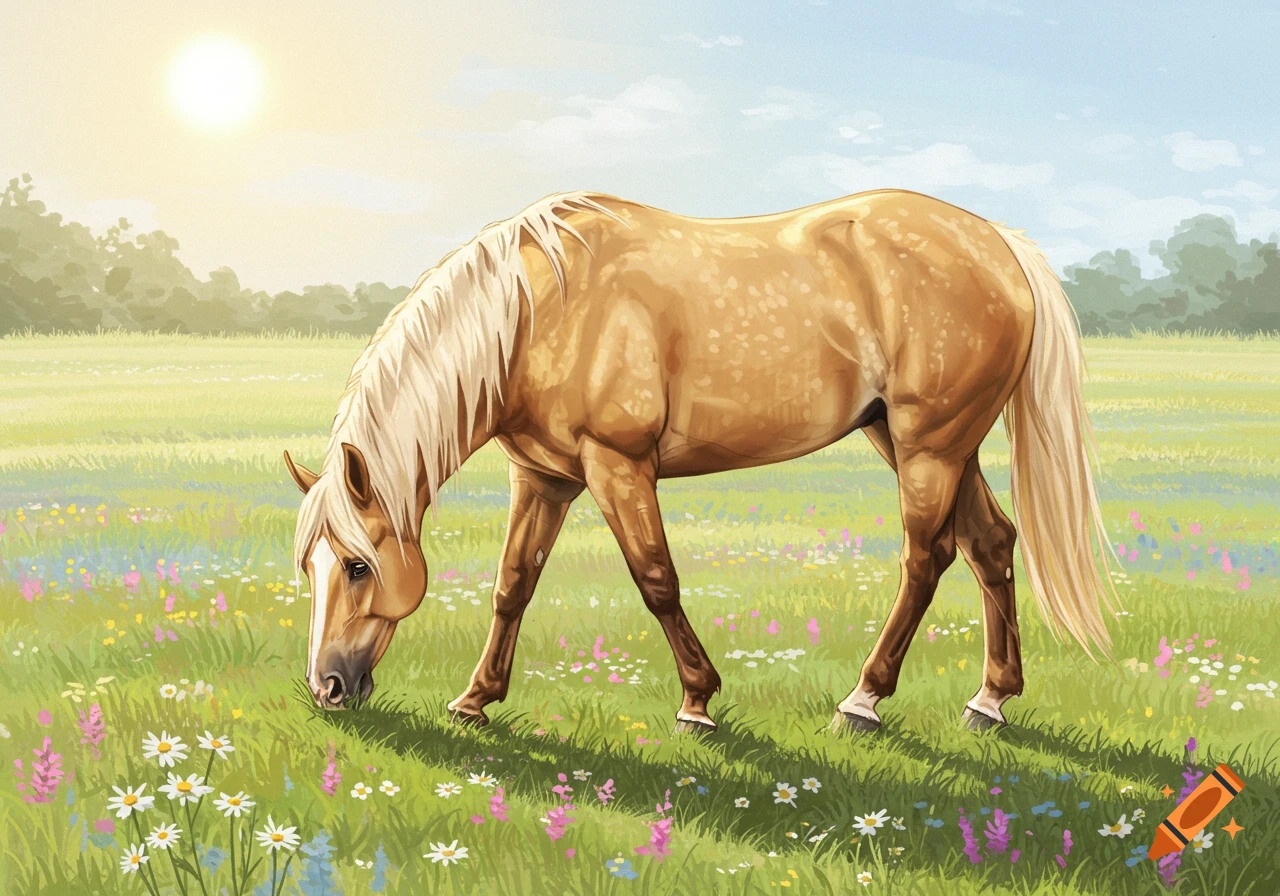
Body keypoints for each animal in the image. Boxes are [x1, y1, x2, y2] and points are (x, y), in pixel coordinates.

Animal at [284, 188, 1115, 735]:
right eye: (308, 567)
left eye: (356, 566)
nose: (327, 688)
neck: (538, 312)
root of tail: (997, 243)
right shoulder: (544, 477)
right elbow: (513, 585)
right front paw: (475, 700)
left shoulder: (618, 465)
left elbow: (656, 579)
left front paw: (697, 701)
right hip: (925, 440)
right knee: (990, 543)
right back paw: (989, 702)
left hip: (929, 444)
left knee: (927, 556)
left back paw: (862, 701)